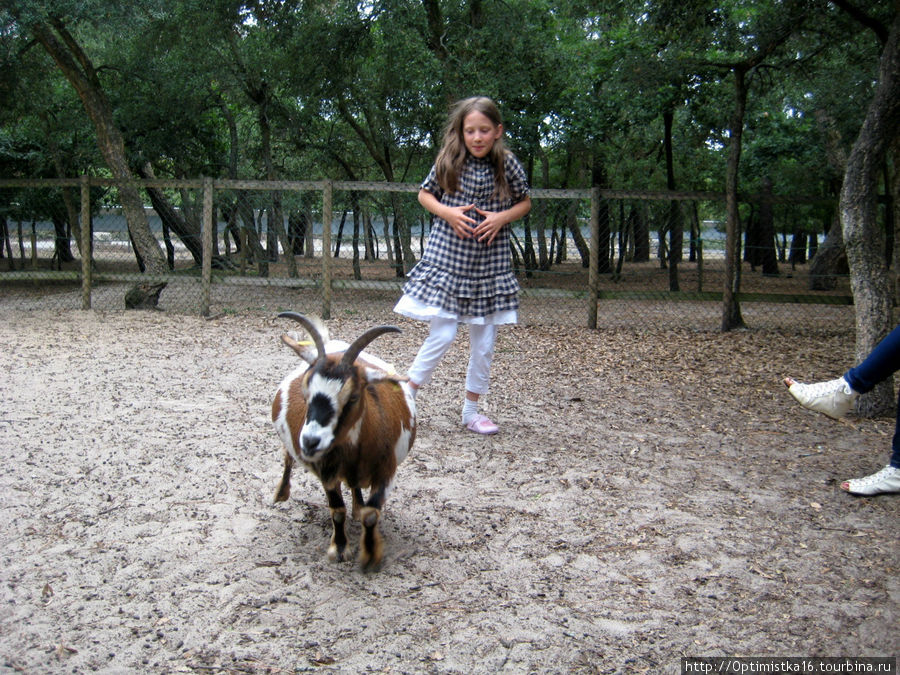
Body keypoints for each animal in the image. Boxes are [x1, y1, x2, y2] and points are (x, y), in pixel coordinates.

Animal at [272, 312, 416, 572]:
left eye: (353, 396)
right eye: (305, 391)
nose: (310, 442)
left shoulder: (386, 470)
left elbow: (371, 514)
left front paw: (370, 555)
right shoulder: (327, 470)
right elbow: (337, 510)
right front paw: (339, 549)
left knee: (355, 486)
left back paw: (357, 507)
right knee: (288, 458)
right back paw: (281, 493)